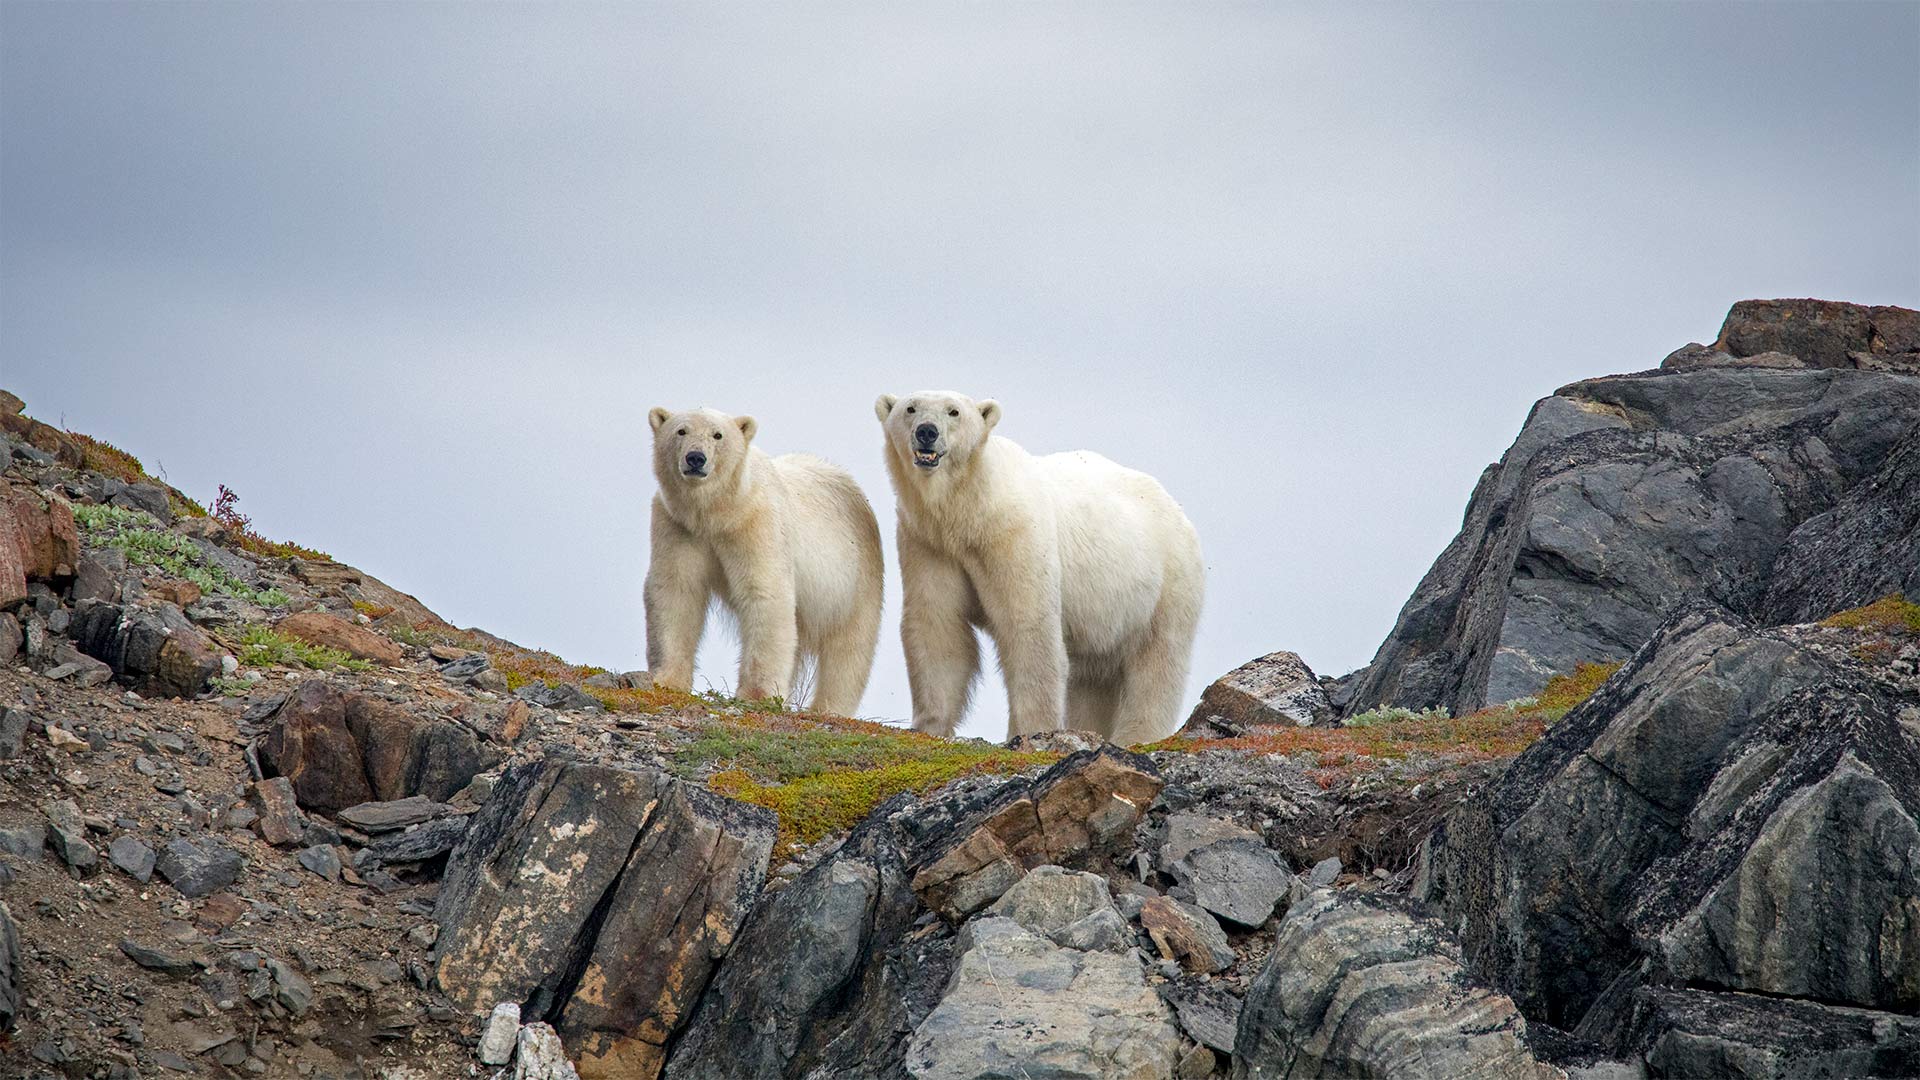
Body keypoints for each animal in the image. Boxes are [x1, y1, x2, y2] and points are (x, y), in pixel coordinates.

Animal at [645, 406, 884, 717]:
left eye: (718, 435)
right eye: (681, 431)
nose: (696, 458)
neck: (717, 513)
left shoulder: (757, 524)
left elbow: (765, 595)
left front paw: (756, 695)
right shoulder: (678, 526)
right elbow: (675, 591)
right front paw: (666, 680)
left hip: (855, 578)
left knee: (849, 648)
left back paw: (828, 708)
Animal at [875, 390, 1204, 744]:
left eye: (954, 412)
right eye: (910, 408)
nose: (927, 432)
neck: (971, 510)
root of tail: (1176, 509)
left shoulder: (1014, 534)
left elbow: (1029, 628)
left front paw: (1033, 730)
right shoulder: (930, 543)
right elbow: (938, 624)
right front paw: (929, 725)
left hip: (1166, 586)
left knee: (1157, 664)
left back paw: (1137, 736)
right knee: (1093, 679)